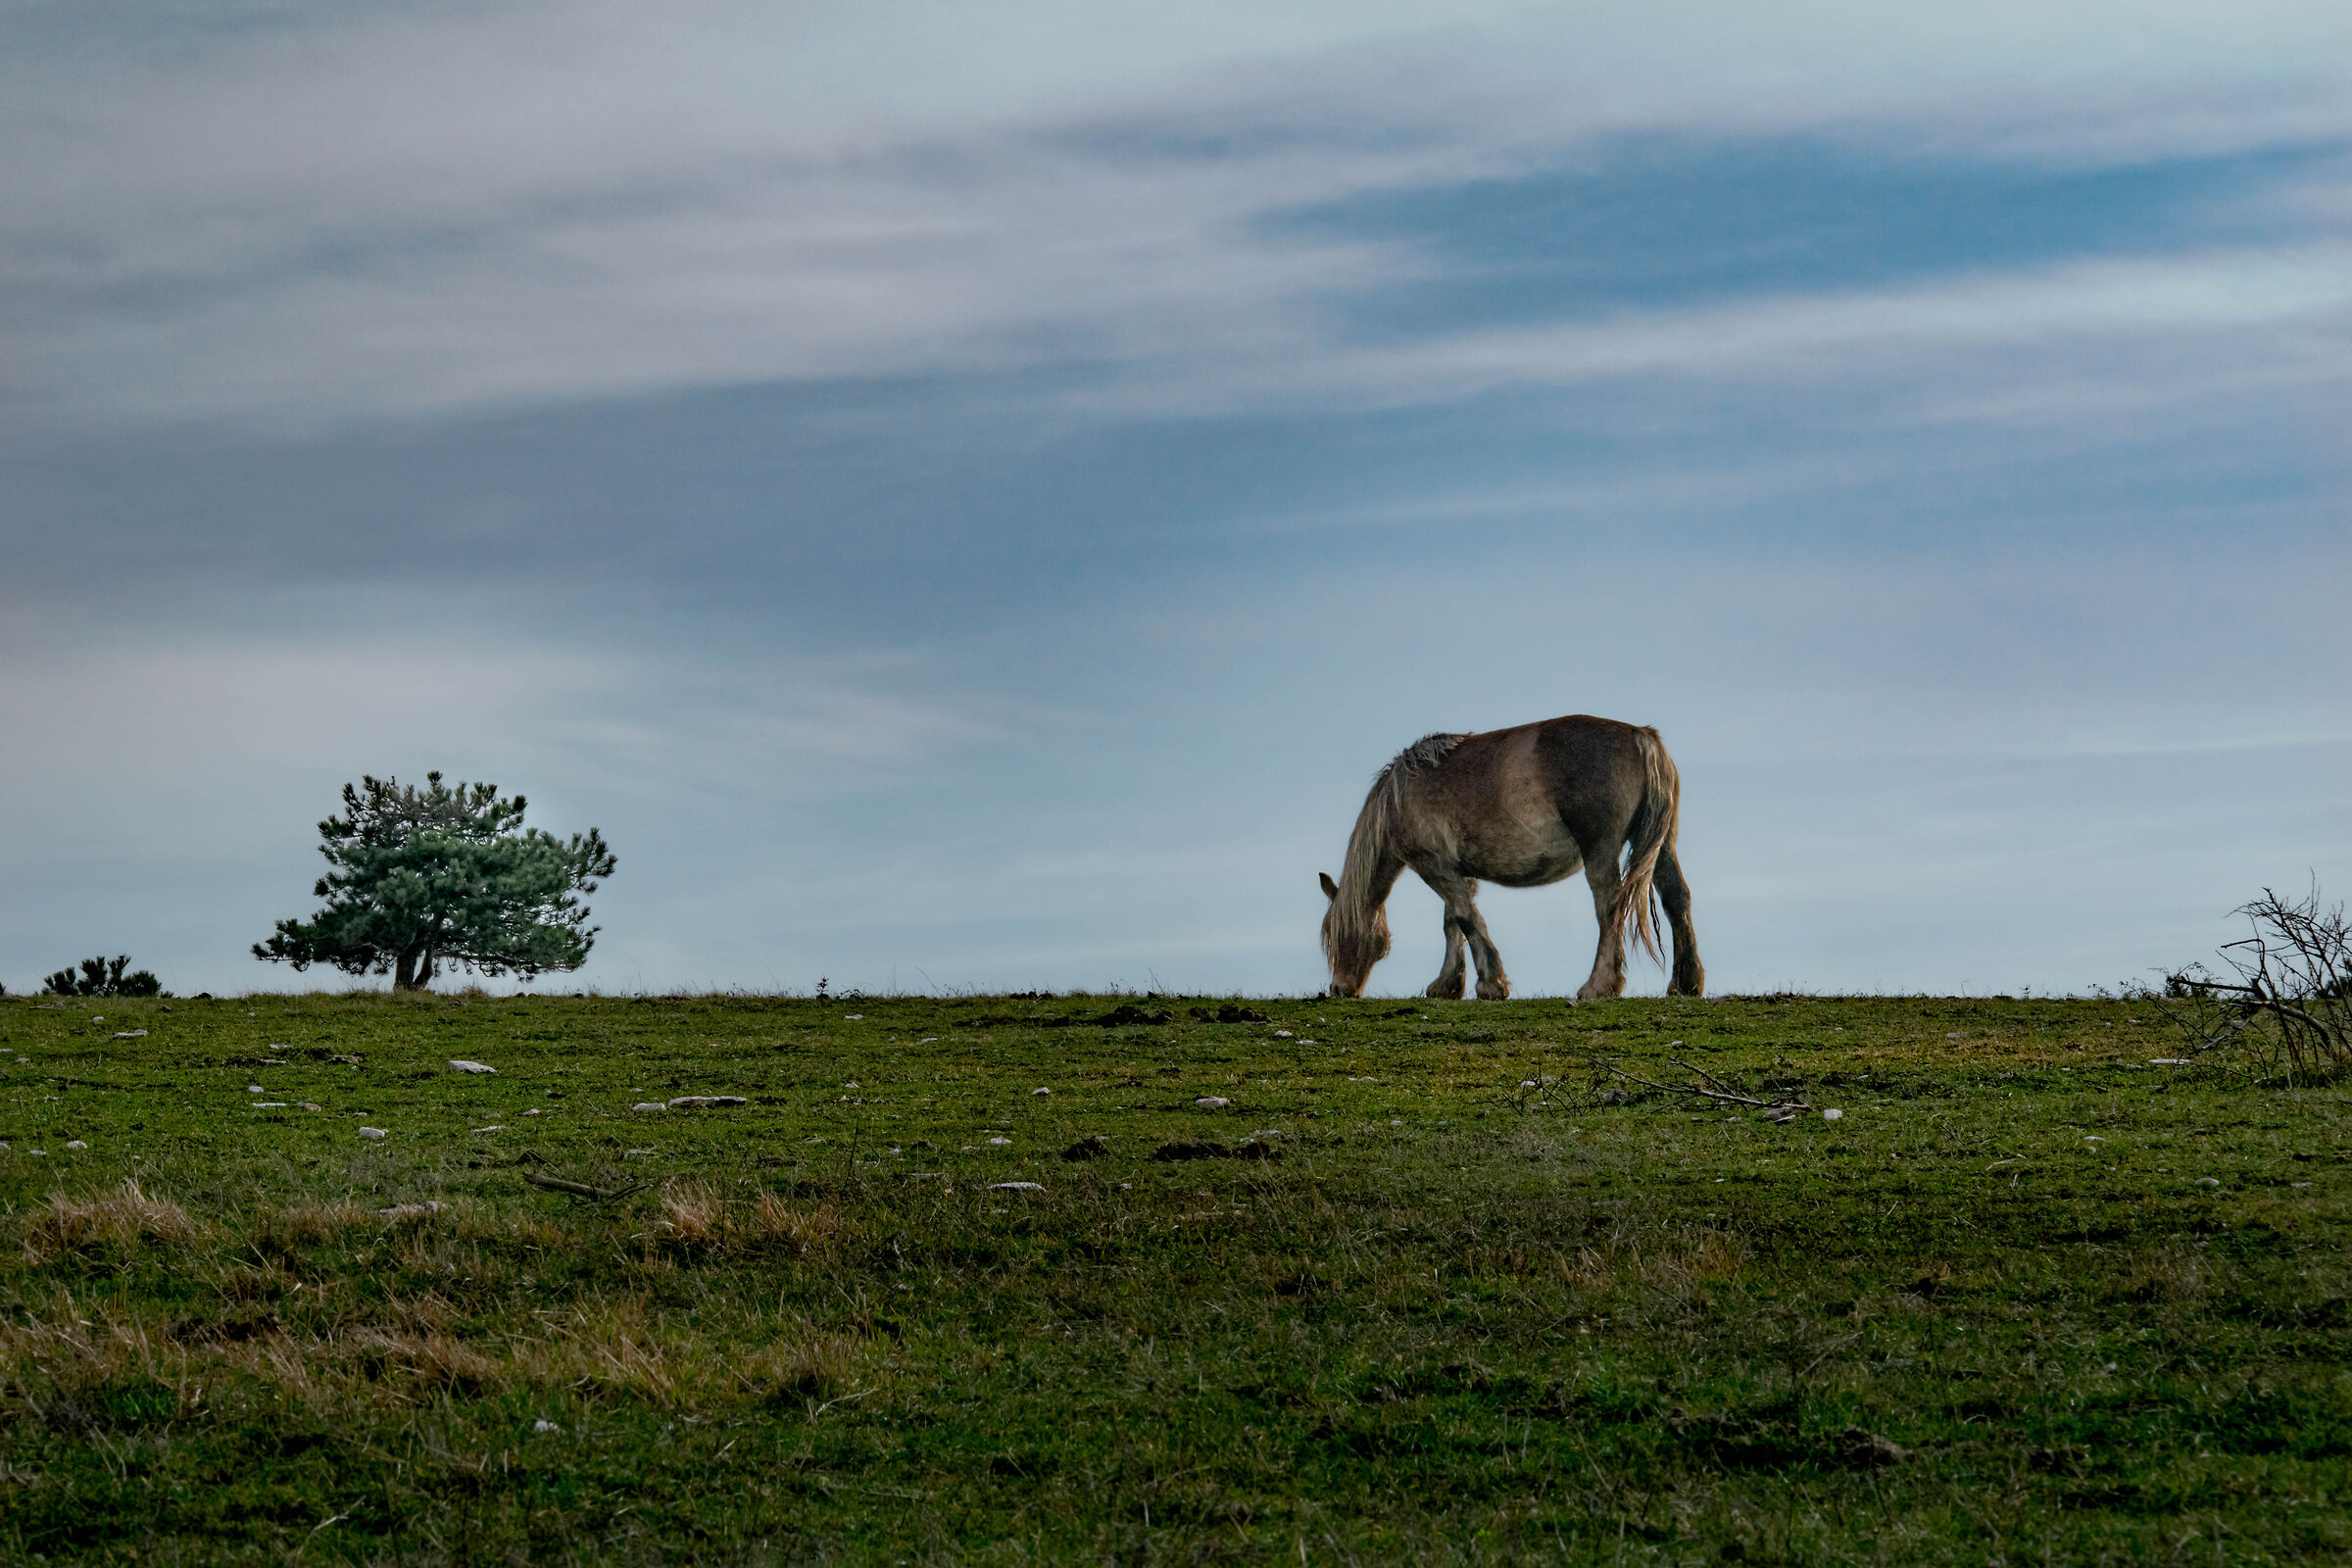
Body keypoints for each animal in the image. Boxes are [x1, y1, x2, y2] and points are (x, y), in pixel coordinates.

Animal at [1318, 714, 1703, 1000]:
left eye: (1338, 934)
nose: (1338, 989)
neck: (1400, 796)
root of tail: (1643, 737)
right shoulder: (1459, 870)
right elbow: (1452, 922)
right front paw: (1448, 985)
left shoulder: (1433, 865)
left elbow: (1465, 918)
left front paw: (1491, 984)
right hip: (1660, 845)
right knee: (1676, 898)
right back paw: (1685, 983)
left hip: (1601, 849)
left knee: (1609, 906)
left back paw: (1598, 985)